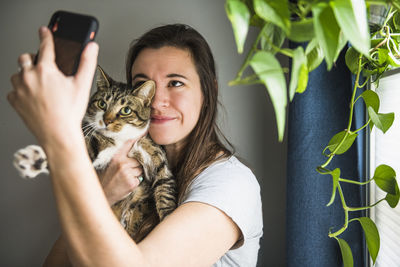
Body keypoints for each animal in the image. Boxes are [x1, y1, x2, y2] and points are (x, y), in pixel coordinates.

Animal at [13, 66, 177, 243]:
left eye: (126, 110)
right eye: (102, 104)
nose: (107, 120)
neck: (122, 139)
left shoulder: (156, 157)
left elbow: (165, 191)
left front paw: (169, 222)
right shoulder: (97, 145)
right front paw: (33, 159)